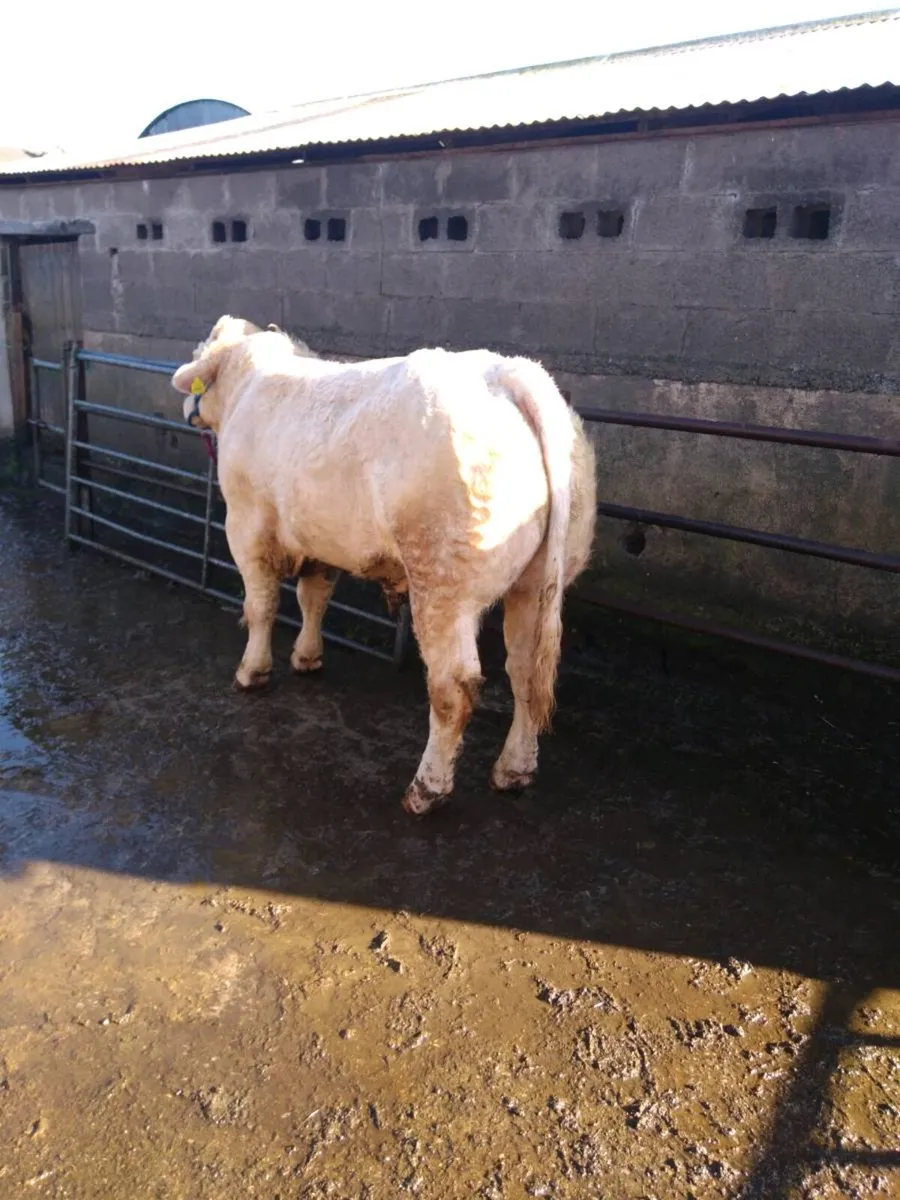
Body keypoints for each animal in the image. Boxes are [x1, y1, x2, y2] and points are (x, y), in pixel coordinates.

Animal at [172, 316, 596, 815]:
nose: (186, 406)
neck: (250, 381)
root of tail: (509, 373)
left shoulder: (245, 527)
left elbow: (261, 606)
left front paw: (252, 672)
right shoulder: (321, 537)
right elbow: (314, 598)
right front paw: (307, 657)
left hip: (442, 585)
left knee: (453, 688)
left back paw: (426, 789)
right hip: (537, 582)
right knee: (526, 672)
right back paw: (514, 770)